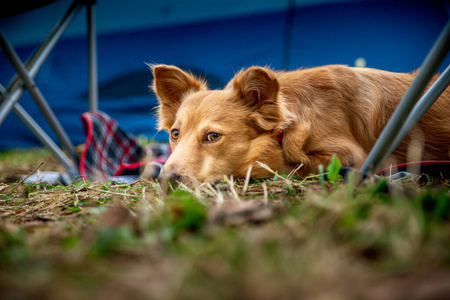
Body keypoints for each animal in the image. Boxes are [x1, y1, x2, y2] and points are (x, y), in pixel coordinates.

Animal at [149, 64, 450, 184]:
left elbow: (290, 164)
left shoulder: (353, 157)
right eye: (175, 134)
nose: (166, 180)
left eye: (212, 136)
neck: (289, 127)